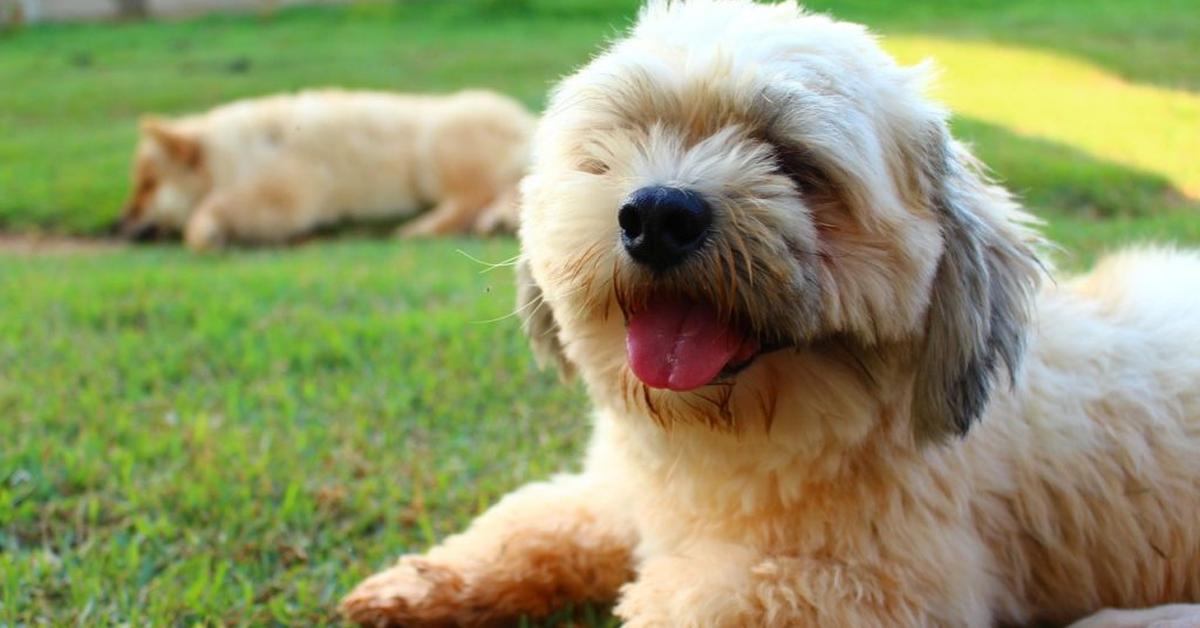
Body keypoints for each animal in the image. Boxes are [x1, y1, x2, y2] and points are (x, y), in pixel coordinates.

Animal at [117, 88, 530, 250]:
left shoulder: (290, 190)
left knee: (470, 199)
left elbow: (213, 206)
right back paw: (498, 222)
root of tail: (525, 120)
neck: (235, 153)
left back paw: (418, 229)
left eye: (148, 185)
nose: (118, 224)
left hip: (436, 152)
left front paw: (205, 231)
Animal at [340, 2, 1200, 624]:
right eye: (619, 145)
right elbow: (535, 522)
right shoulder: (620, 496)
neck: (742, 440)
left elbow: (694, 598)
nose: (658, 213)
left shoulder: (893, 590)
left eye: (794, 163)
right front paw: (424, 582)